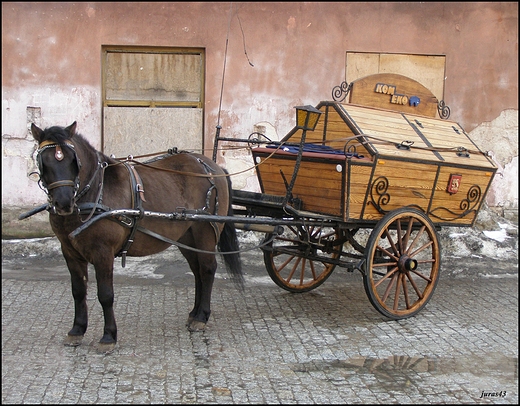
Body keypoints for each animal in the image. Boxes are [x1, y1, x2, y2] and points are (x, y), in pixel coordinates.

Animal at [26, 122, 242, 350]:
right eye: (43, 161)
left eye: (72, 159)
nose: (64, 202)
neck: (94, 193)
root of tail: (213, 168)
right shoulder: (70, 252)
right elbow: (78, 291)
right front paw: (77, 330)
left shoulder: (103, 253)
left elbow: (105, 295)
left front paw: (109, 336)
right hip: (186, 236)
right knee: (197, 270)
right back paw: (194, 313)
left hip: (205, 232)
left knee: (208, 270)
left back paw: (202, 317)